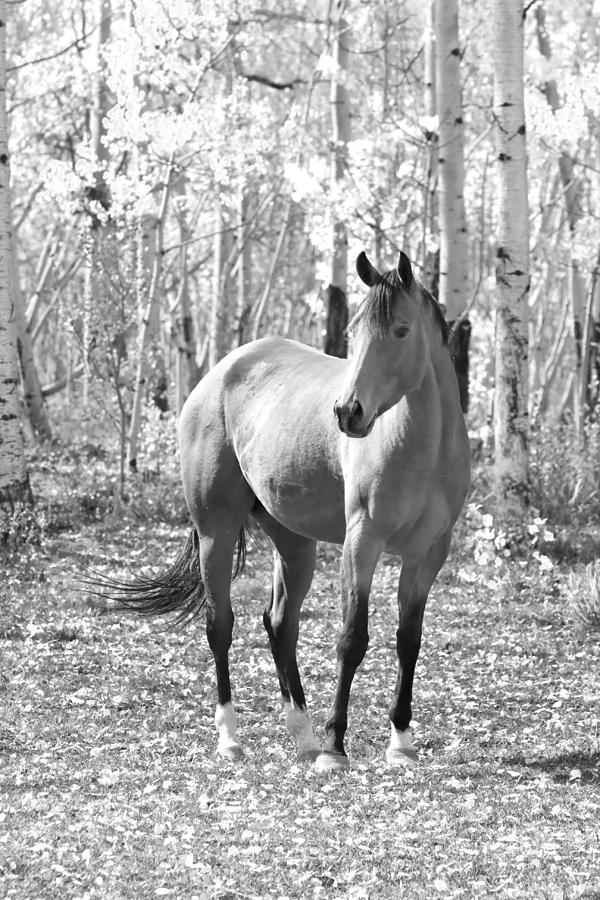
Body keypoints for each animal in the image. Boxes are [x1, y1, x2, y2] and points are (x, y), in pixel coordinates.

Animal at [98, 250, 472, 768]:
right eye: (354, 331)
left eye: (401, 330)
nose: (348, 412)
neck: (424, 448)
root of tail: (221, 372)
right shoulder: (362, 543)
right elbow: (352, 639)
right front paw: (336, 748)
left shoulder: (428, 554)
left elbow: (408, 641)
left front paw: (400, 742)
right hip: (216, 533)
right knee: (220, 626)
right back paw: (232, 739)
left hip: (294, 544)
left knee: (280, 625)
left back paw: (303, 736)